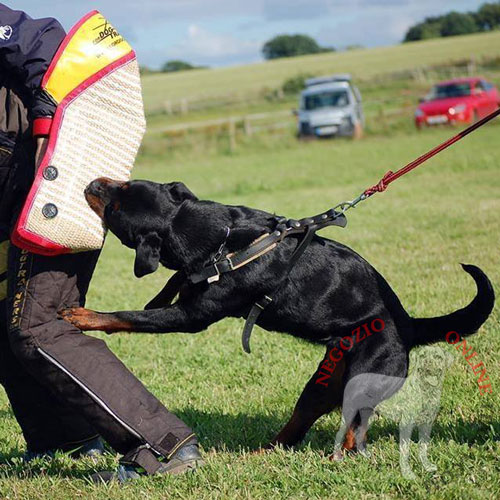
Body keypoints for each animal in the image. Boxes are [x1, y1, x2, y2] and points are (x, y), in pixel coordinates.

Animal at [60, 179, 494, 458]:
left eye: (116, 206)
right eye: (123, 185)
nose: (95, 182)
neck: (219, 239)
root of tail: (407, 324)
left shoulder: (191, 317)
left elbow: (129, 316)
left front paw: (85, 316)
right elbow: (176, 280)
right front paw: (160, 293)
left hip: (364, 378)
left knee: (356, 433)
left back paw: (338, 458)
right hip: (321, 384)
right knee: (296, 428)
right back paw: (262, 452)